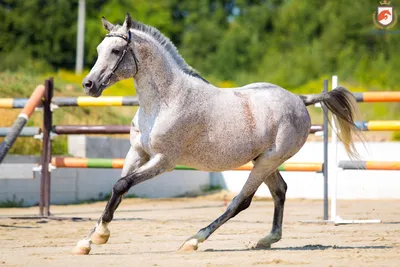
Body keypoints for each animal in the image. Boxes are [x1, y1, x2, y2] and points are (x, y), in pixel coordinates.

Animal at [73, 14, 360, 255]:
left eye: (116, 50)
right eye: (98, 50)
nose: (89, 85)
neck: (164, 101)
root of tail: (299, 100)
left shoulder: (164, 161)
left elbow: (121, 185)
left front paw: (100, 236)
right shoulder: (137, 153)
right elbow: (117, 191)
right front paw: (87, 241)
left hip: (268, 161)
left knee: (241, 201)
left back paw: (194, 240)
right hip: (264, 161)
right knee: (279, 191)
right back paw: (267, 240)